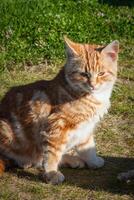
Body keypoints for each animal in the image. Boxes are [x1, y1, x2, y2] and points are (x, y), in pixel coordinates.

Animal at [0, 36, 119, 184]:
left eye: (101, 73)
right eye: (84, 74)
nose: (93, 85)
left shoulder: (86, 128)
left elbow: (88, 146)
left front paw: (93, 160)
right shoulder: (55, 126)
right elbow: (51, 154)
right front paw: (51, 173)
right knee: (31, 160)